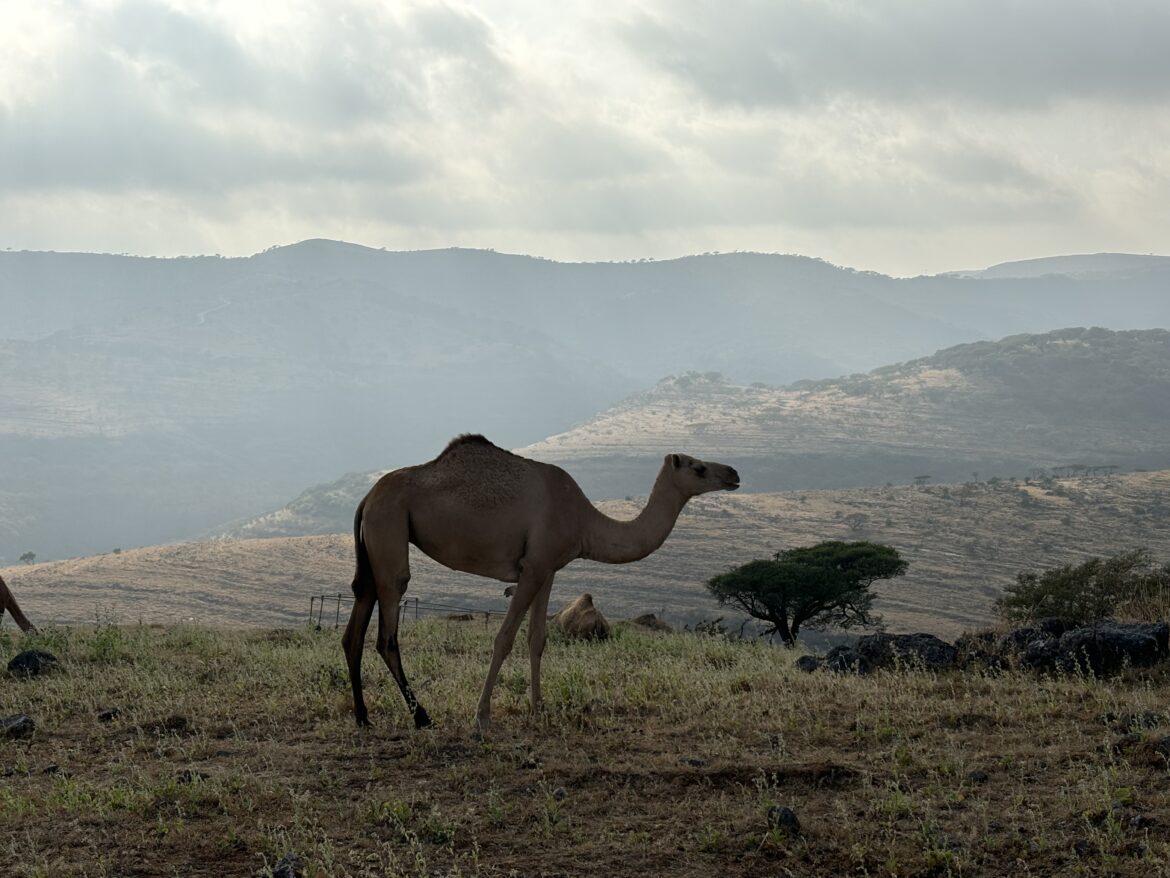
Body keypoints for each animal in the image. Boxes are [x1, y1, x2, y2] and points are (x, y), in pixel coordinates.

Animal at [343, 433, 739, 730]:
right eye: (699, 467)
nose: (734, 473)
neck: (583, 520)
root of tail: (367, 498)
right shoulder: (532, 567)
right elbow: (504, 638)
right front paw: (482, 716)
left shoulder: (548, 569)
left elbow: (537, 639)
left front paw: (538, 708)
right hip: (390, 529)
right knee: (387, 631)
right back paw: (422, 717)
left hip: (373, 546)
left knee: (355, 627)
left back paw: (363, 717)